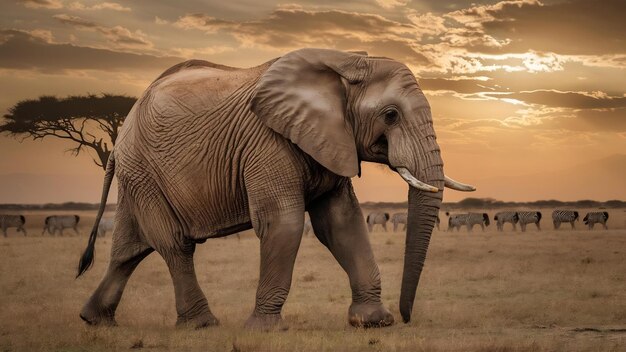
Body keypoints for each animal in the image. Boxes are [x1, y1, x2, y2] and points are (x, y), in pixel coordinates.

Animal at [74, 48, 472, 332]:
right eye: (391, 115)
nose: (406, 319)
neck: (348, 62)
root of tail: (123, 129)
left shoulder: (329, 140)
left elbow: (342, 223)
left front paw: (373, 322)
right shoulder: (267, 142)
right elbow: (284, 223)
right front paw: (264, 329)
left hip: (139, 177)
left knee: (129, 249)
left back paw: (94, 320)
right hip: (143, 171)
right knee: (174, 244)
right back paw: (203, 325)